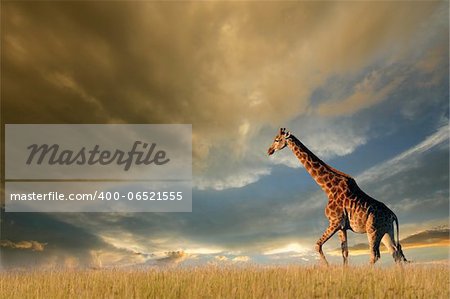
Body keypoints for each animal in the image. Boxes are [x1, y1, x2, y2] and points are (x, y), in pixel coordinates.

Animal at [268, 127, 408, 266]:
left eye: (277, 139)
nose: (269, 151)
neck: (328, 189)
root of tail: (393, 215)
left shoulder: (335, 221)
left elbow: (317, 245)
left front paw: (328, 267)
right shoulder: (342, 226)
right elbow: (344, 252)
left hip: (373, 230)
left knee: (375, 255)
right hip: (386, 231)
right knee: (395, 252)